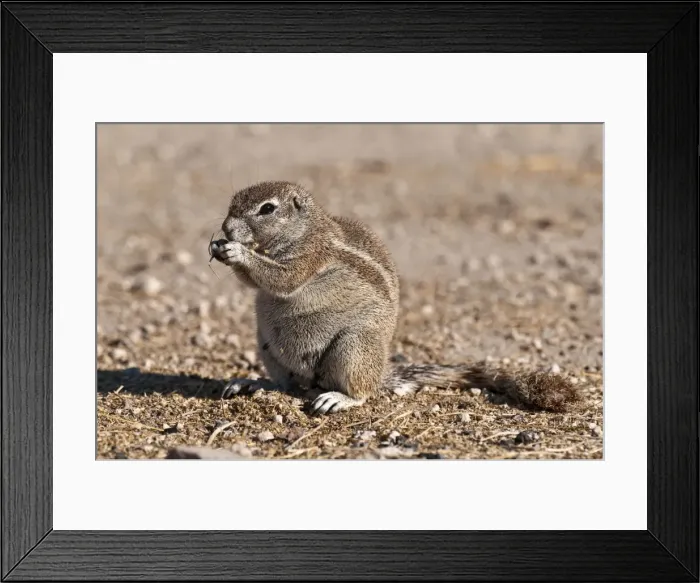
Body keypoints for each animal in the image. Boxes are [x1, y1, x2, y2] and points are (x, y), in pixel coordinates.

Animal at [210, 180, 580, 416]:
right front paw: (220, 247)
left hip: (354, 347)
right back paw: (250, 383)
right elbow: (253, 282)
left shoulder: (309, 257)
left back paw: (339, 399)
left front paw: (237, 251)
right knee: (288, 385)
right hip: (267, 347)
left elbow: (281, 278)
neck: (305, 230)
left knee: (361, 392)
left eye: (267, 208)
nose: (226, 228)